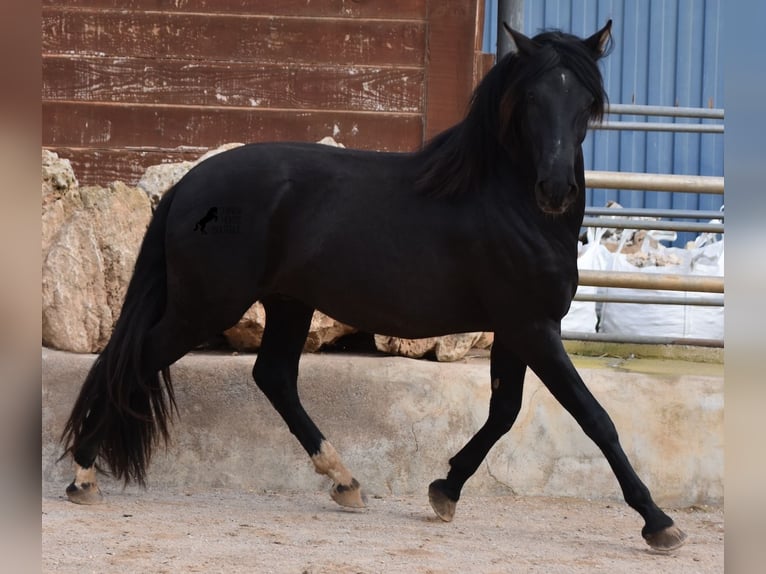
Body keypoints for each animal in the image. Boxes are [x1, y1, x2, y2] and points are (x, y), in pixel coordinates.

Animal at [58, 22, 684, 552]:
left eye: (586, 102)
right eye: (531, 99)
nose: (555, 188)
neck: (507, 203)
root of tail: (188, 185)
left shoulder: (516, 331)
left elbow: (505, 413)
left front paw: (445, 491)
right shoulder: (533, 328)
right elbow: (596, 419)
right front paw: (658, 522)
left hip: (287, 303)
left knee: (273, 377)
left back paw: (345, 482)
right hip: (207, 305)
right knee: (134, 360)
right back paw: (83, 475)